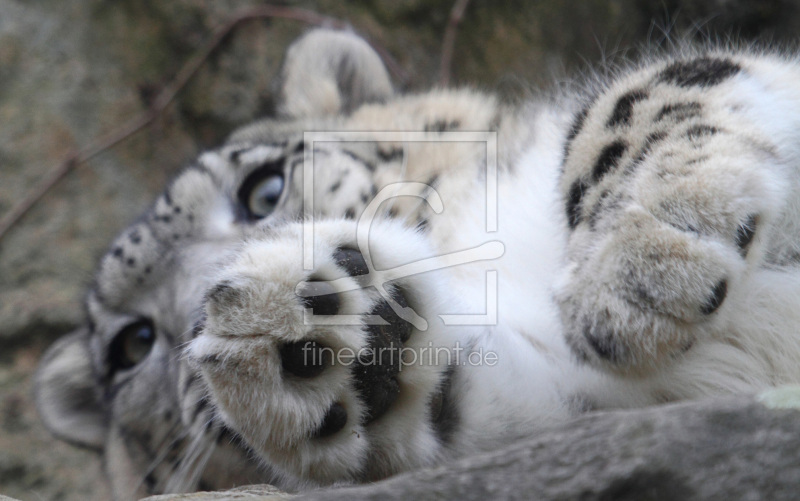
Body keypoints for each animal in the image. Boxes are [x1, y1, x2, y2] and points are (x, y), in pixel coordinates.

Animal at [37, 29, 800, 498]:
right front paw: (311, 340)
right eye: (132, 344)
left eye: (264, 188)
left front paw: (643, 258)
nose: (206, 296)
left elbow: (645, 92)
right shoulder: (589, 402)